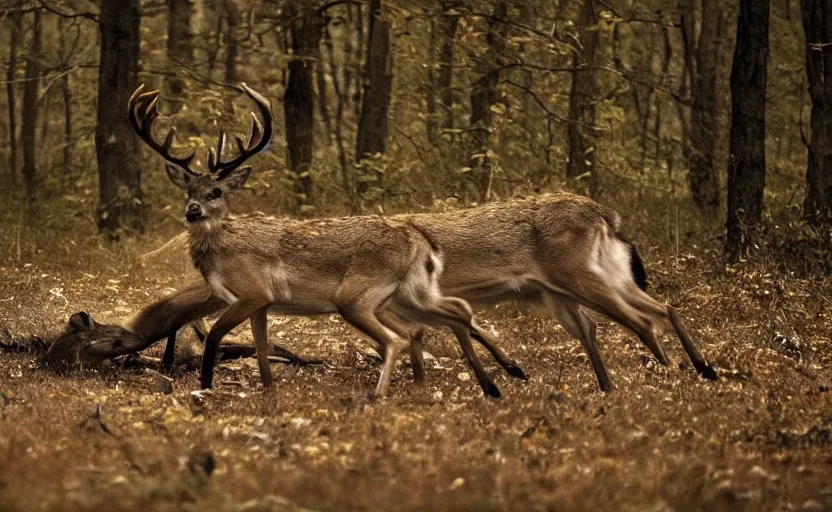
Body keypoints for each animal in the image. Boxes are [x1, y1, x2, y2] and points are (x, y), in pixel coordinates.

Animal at [127, 83, 524, 396]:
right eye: (189, 190)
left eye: (216, 192)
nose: (192, 212)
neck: (219, 257)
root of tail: (418, 238)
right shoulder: (263, 304)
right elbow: (261, 348)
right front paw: (269, 390)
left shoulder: (253, 291)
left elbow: (214, 338)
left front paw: (206, 386)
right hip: (406, 293)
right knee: (447, 315)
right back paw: (479, 382)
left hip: (357, 296)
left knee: (410, 332)